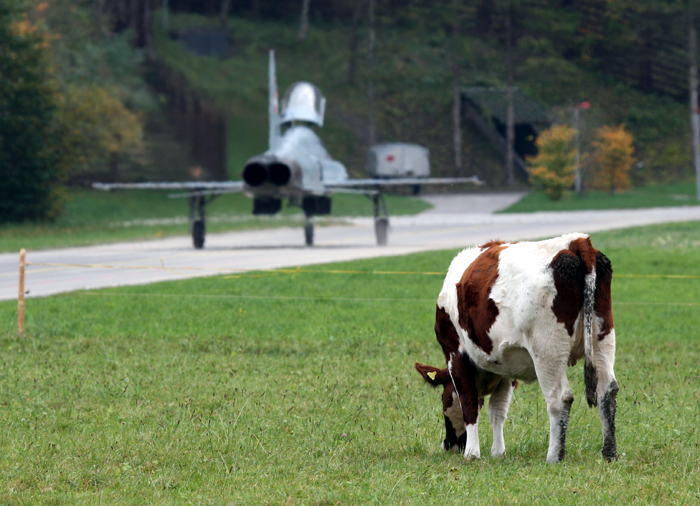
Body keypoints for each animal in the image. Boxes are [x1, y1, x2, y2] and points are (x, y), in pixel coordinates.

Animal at [416, 233, 616, 462]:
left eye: (443, 401)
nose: (448, 445)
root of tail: (576, 241)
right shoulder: (505, 366)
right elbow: (497, 410)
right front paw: (498, 452)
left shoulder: (455, 354)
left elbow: (469, 404)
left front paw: (472, 453)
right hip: (603, 337)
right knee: (607, 391)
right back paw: (609, 453)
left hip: (547, 349)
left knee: (559, 398)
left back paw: (554, 456)